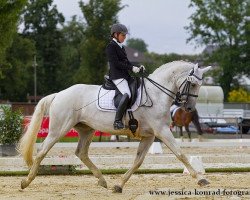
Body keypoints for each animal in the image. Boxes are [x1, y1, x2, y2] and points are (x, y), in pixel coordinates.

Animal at [18, 60, 211, 192]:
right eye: (193, 83)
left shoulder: (149, 136)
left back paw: (102, 181)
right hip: (59, 128)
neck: (156, 94)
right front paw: (200, 179)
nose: (189, 108)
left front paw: (119, 185)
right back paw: (26, 181)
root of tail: (59, 94)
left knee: (81, 153)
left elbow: (138, 162)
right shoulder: (161, 131)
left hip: (87, 130)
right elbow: (181, 154)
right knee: (42, 150)